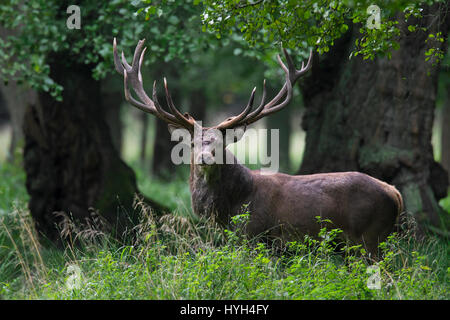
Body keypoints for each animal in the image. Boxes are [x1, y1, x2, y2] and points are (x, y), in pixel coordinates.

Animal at [113, 38, 404, 256]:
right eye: (193, 142)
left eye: (220, 143)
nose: (205, 157)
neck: (230, 209)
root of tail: (396, 194)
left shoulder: (258, 236)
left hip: (369, 237)